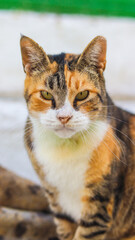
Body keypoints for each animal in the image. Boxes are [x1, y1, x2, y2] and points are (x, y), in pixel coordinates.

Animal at [20, 35, 135, 240]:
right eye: (46, 94)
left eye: (82, 94)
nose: (64, 117)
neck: (65, 149)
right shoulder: (58, 203)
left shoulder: (99, 203)